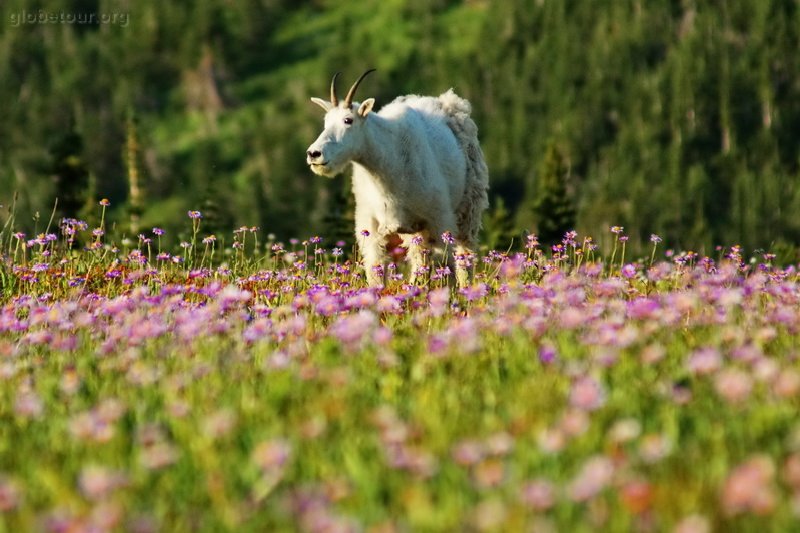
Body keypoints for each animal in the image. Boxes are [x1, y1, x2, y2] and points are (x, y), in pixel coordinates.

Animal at [306, 71, 488, 286]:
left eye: (348, 120)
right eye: (326, 122)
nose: (314, 154)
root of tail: (450, 101)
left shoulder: (439, 219)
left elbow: (446, 265)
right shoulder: (371, 226)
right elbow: (376, 269)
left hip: (469, 206)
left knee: (464, 253)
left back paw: (466, 286)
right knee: (420, 257)